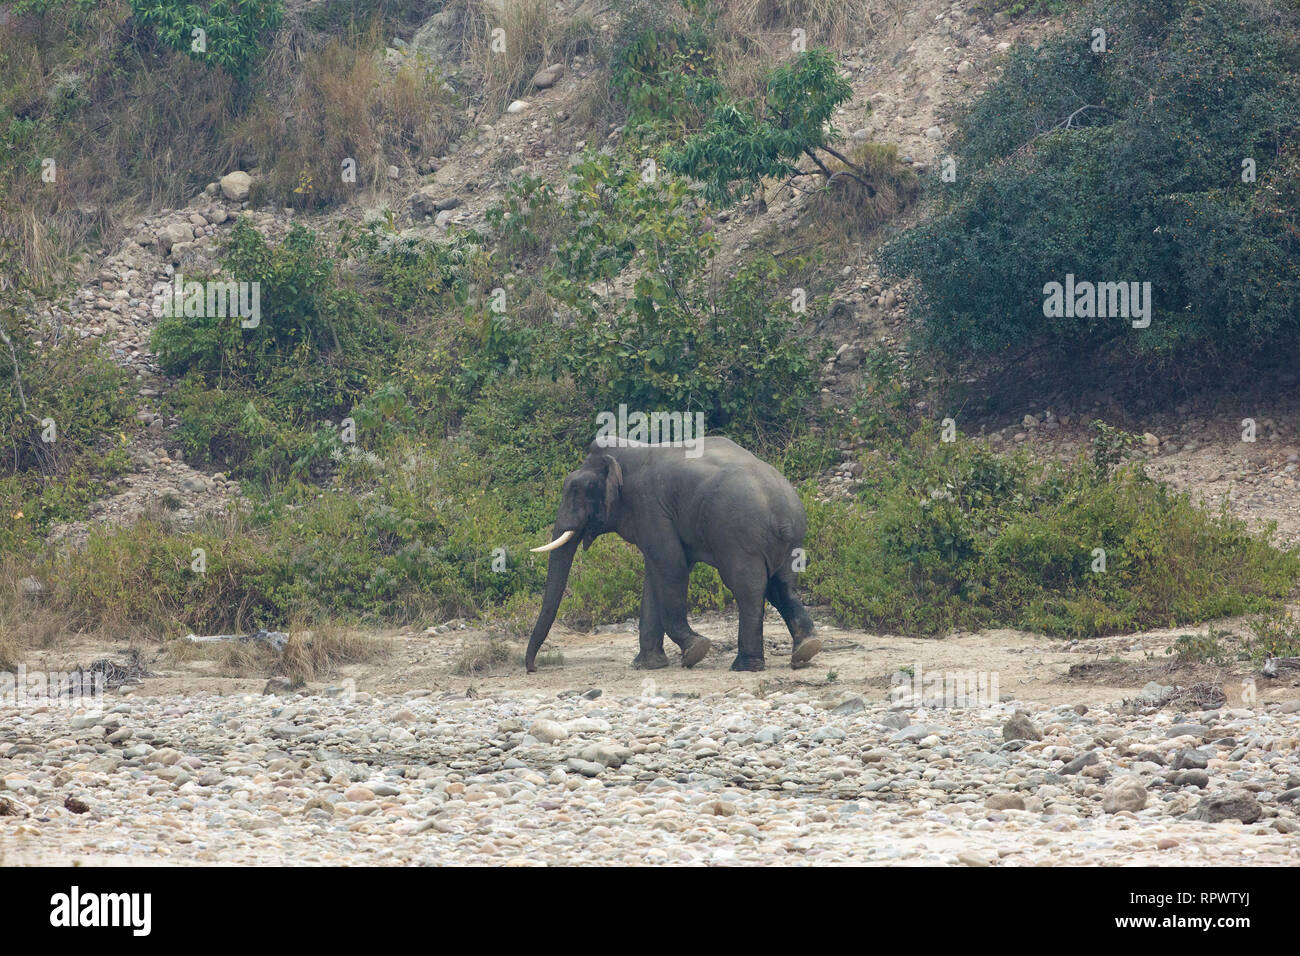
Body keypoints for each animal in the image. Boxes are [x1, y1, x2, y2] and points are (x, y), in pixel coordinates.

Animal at [524, 436, 821, 673]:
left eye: (576, 491)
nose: (533, 669)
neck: (626, 451)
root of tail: (780, 508)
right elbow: (656, 573)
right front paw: (648, 665)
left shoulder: (649, 505)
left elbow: (671, 566)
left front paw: (695, 651)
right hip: (791, 539)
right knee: (782, 585)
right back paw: (807, 649)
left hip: (737, 535)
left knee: (748, 587)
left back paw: (745, 666)